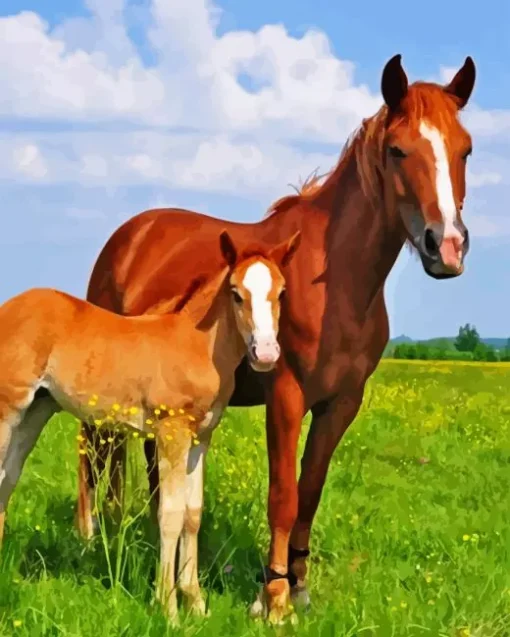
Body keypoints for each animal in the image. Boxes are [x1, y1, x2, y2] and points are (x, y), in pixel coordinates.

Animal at [0, 229, 298, 620]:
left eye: (281, 293)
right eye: (236, 293)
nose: (265, 354)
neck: (197, 344)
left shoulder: (200, 438)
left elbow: (192, 514)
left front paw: (196, 604)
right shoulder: (172, 433)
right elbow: (169, 514)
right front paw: (168, 609)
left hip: (35, 411)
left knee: (7, 478)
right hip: (8, 408)